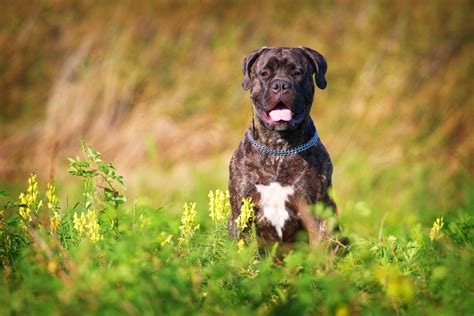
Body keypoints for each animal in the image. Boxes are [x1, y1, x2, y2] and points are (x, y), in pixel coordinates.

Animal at [229, 47, 340, 249]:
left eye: (297, 72)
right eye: (264, 73)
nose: (280, 85)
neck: (279, 149)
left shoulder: (316, 215)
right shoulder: (240, 213)